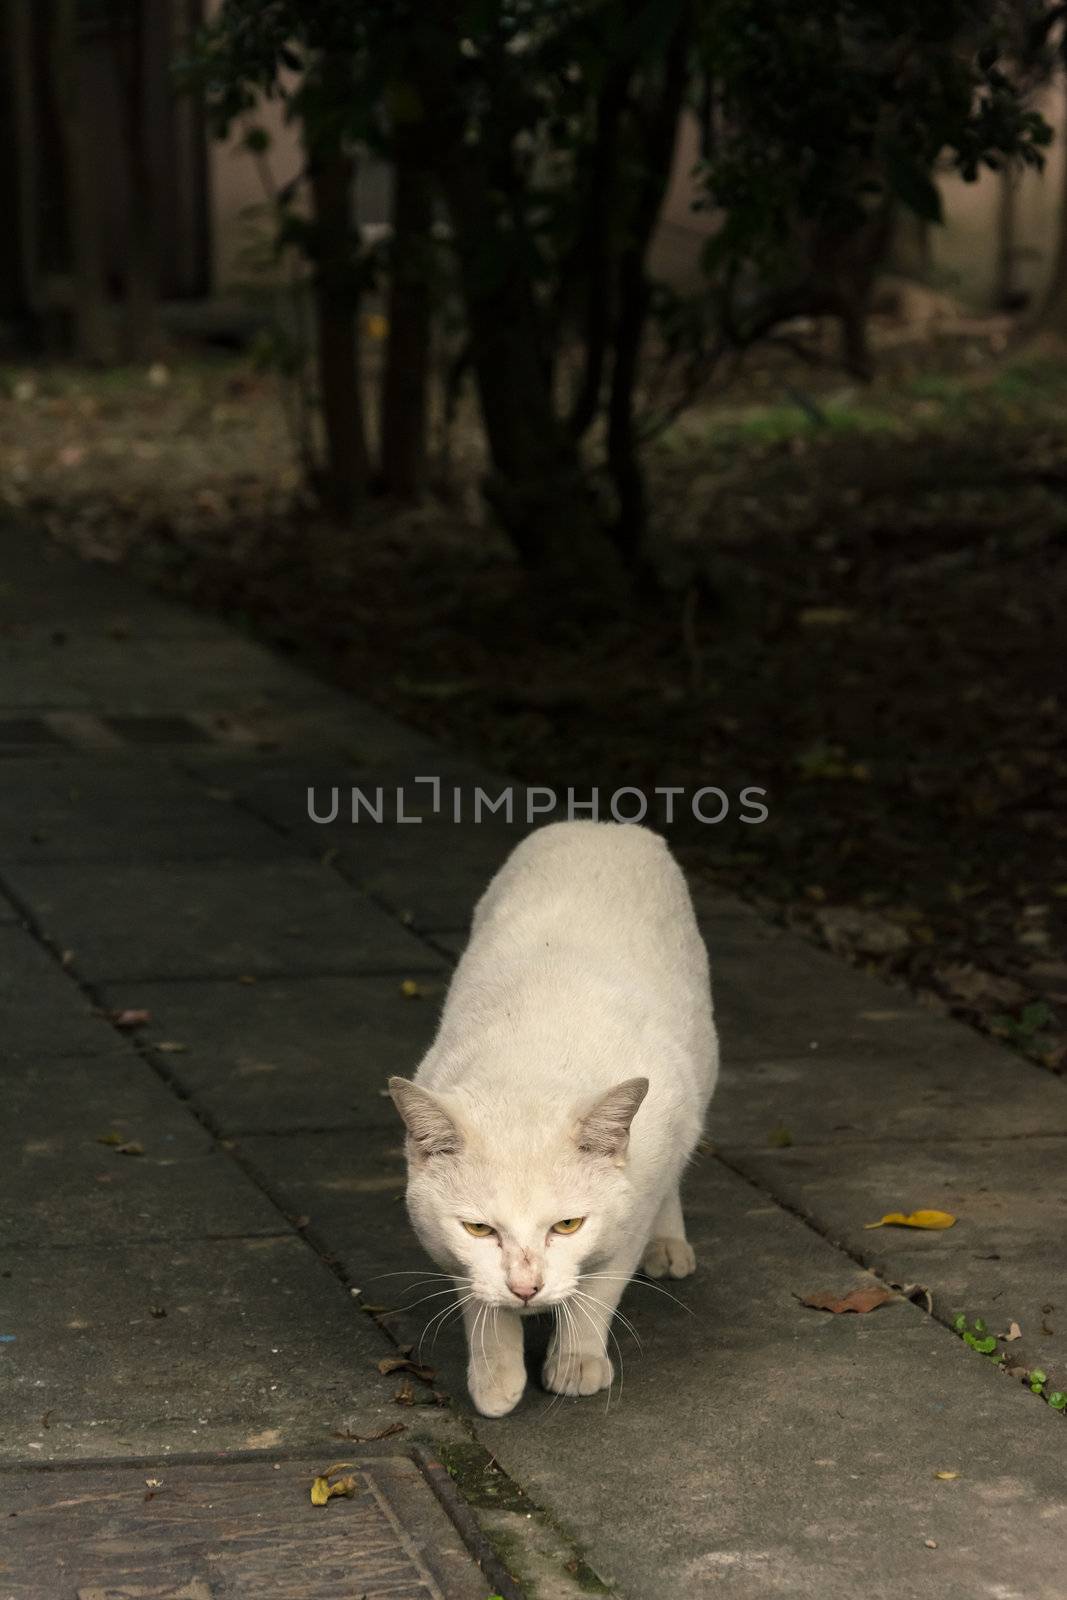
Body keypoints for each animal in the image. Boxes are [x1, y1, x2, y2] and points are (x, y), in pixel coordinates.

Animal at [390, 819, 716, 1420]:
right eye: (479, 1228)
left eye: (567, 1225)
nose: (526, 1288)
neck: (531, 1066)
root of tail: (599, 825)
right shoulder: (458, 1253)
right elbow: (481, 1303)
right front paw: (495, 1378)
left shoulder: (630, 1208)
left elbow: (599, 1288)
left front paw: (575, 1362)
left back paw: (668, 1245)